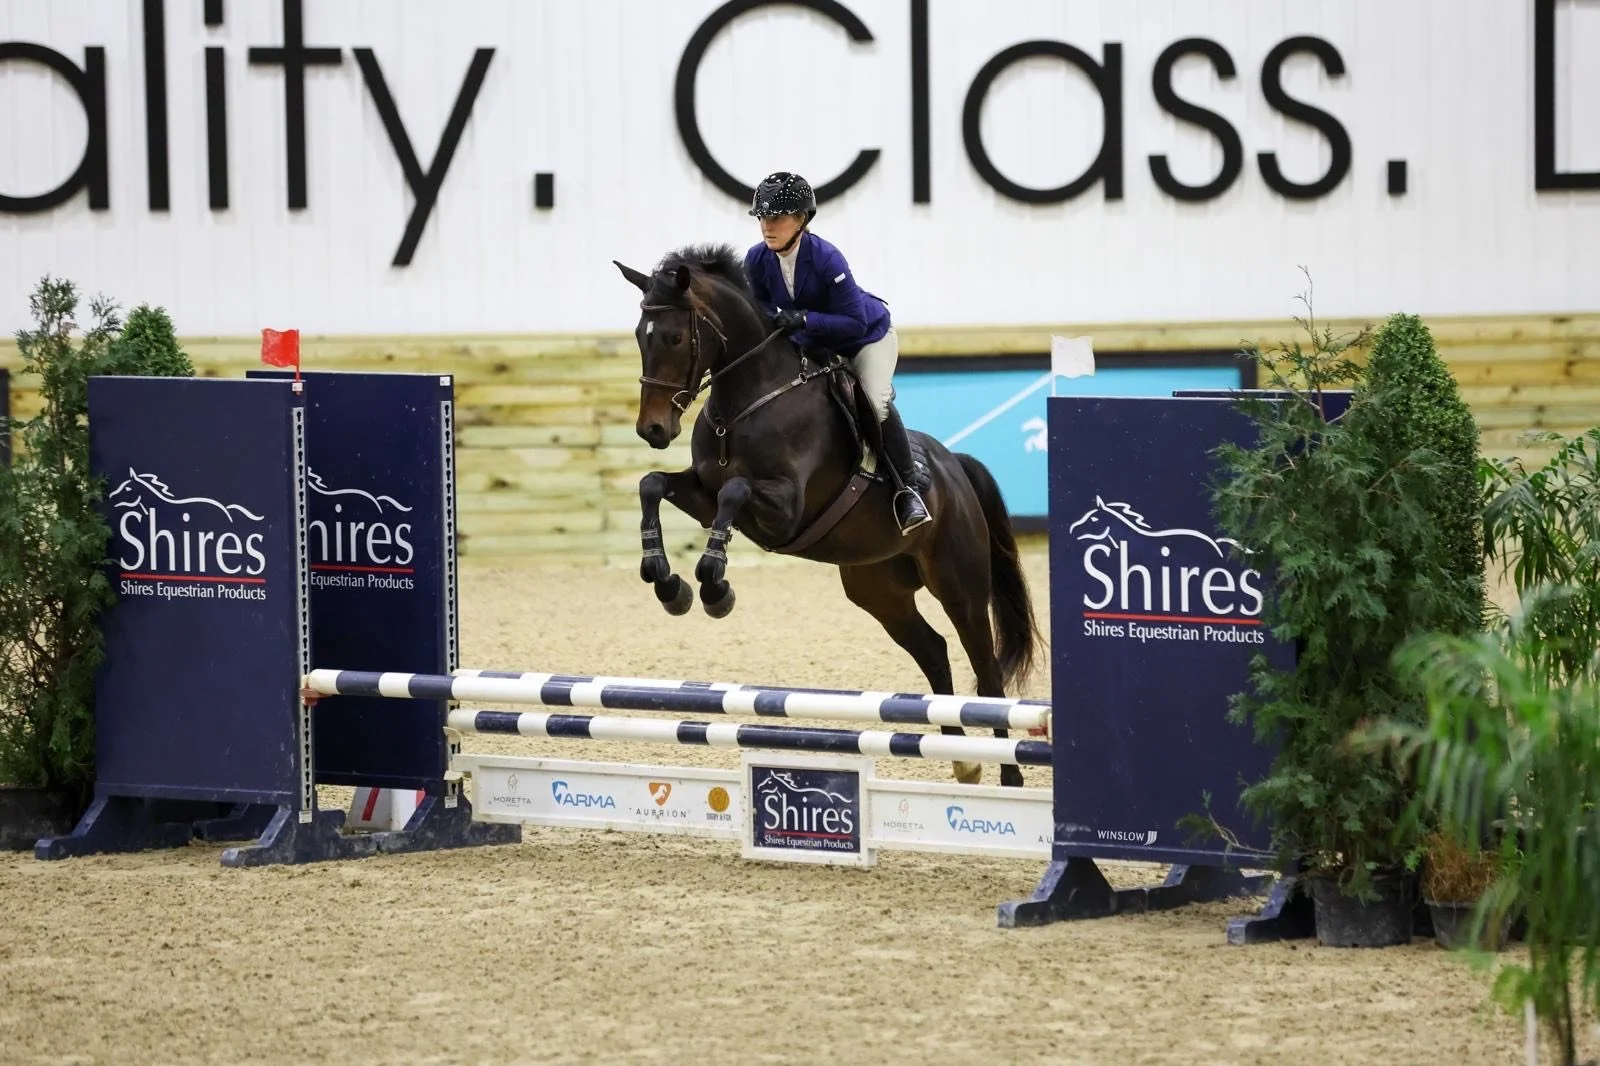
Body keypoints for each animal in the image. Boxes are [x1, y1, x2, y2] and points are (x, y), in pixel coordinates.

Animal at [610, 244, 1042, 787]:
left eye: (673, 336)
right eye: (639, 337)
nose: (653, 429)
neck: (747, 400)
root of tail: (955, 466)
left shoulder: (784, 507)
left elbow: (734, 491)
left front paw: (714, 586)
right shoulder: (703, 493)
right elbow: (653, 484)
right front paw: (668, 583)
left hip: (959, 583)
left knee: (984, 669)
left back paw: (1009, 777)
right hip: (878, 590)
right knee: (933, 651)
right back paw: (962, 759)